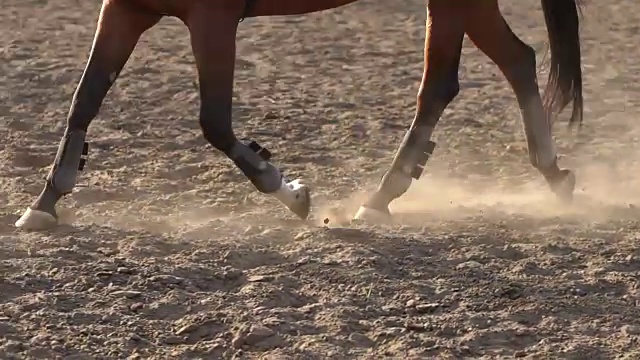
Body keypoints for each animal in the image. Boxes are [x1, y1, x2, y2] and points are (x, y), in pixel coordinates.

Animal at [15, 0, 584, 231]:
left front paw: (289, 192)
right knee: (514, 61)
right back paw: (553, 174)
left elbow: (214, 122)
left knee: (447, 85)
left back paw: (381, 196)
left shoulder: (212, 20)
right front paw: (45, 204)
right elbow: (84, 100)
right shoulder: (124, 9)